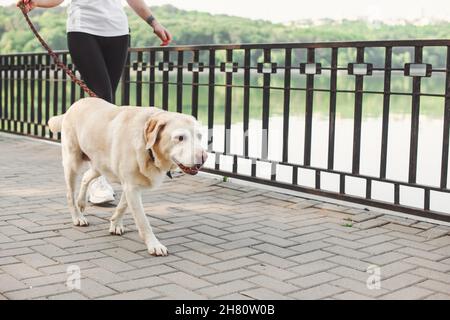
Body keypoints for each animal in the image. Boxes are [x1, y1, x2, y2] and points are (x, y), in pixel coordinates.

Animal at [48, 96, 207, 256]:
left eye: (200, 136)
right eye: (180, 137)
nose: (204, 157)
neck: (147, 148)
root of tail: (76, 104)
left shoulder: (132, 184)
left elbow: (123, 205)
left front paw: (115, 223)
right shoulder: (131, 186)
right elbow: (142, 220)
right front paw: (154, 244)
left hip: (100, 165)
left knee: (87, 176)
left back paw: (81, 202)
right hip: (72, 163)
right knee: (70, 194)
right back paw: (77, 217)